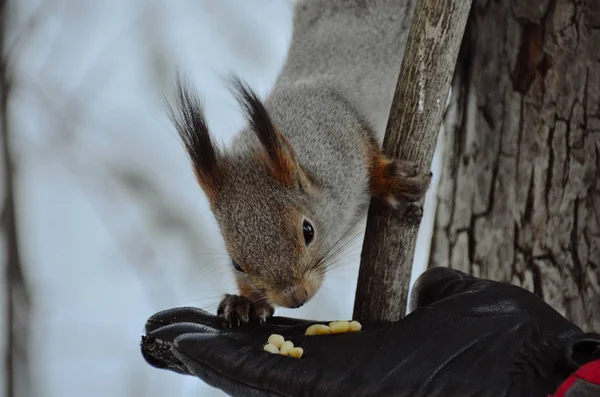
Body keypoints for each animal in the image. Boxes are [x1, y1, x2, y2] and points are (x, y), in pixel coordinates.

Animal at [169, 0, 432, 324]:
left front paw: (393, 181)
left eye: (308, 231)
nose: (295, 297)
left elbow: (370, 151)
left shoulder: (345, 132)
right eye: (236, 264)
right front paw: (245, 303)